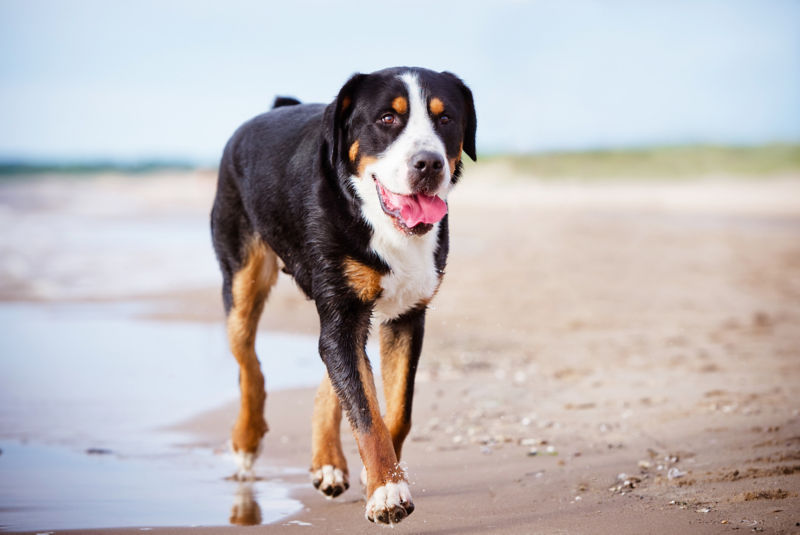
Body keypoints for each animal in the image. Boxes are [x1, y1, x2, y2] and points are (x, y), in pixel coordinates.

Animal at [209, 66, 478, 524]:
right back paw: (247, 440)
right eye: (387, 118)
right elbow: (366, 413)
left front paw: (383, 476)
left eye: (445, 119)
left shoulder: (406, 316)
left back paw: (328, 462)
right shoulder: (342, 313)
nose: (428, 163)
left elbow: (394, 410)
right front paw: (388, 491)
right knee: (249, 364)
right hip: (242, 279)